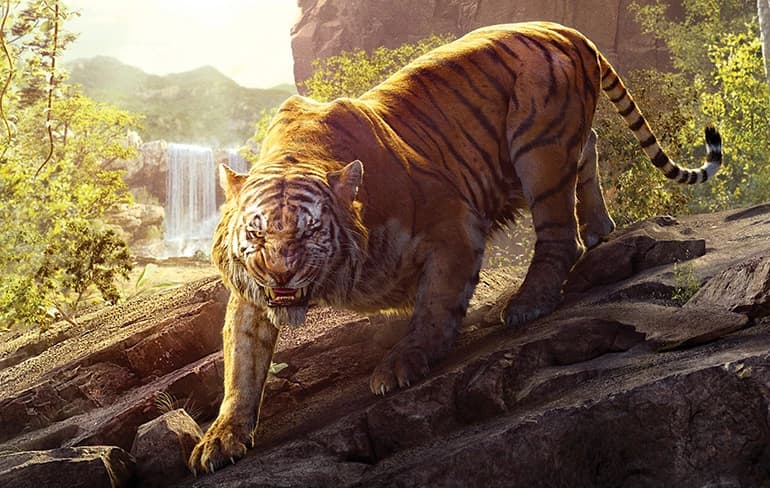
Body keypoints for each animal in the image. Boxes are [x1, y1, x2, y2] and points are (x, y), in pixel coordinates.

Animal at [189, 21, 722, 473]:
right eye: (255, 232)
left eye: (309, 230)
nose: (280, 275)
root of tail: (563, 27)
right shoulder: (249, 296)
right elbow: (242, 363)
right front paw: (220, 438)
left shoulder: (454, 222)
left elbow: (436, 302)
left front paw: (403, 363)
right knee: (588, 147)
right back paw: (599, 228)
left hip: (538, 145)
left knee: (558, 233)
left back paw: (529, 302)